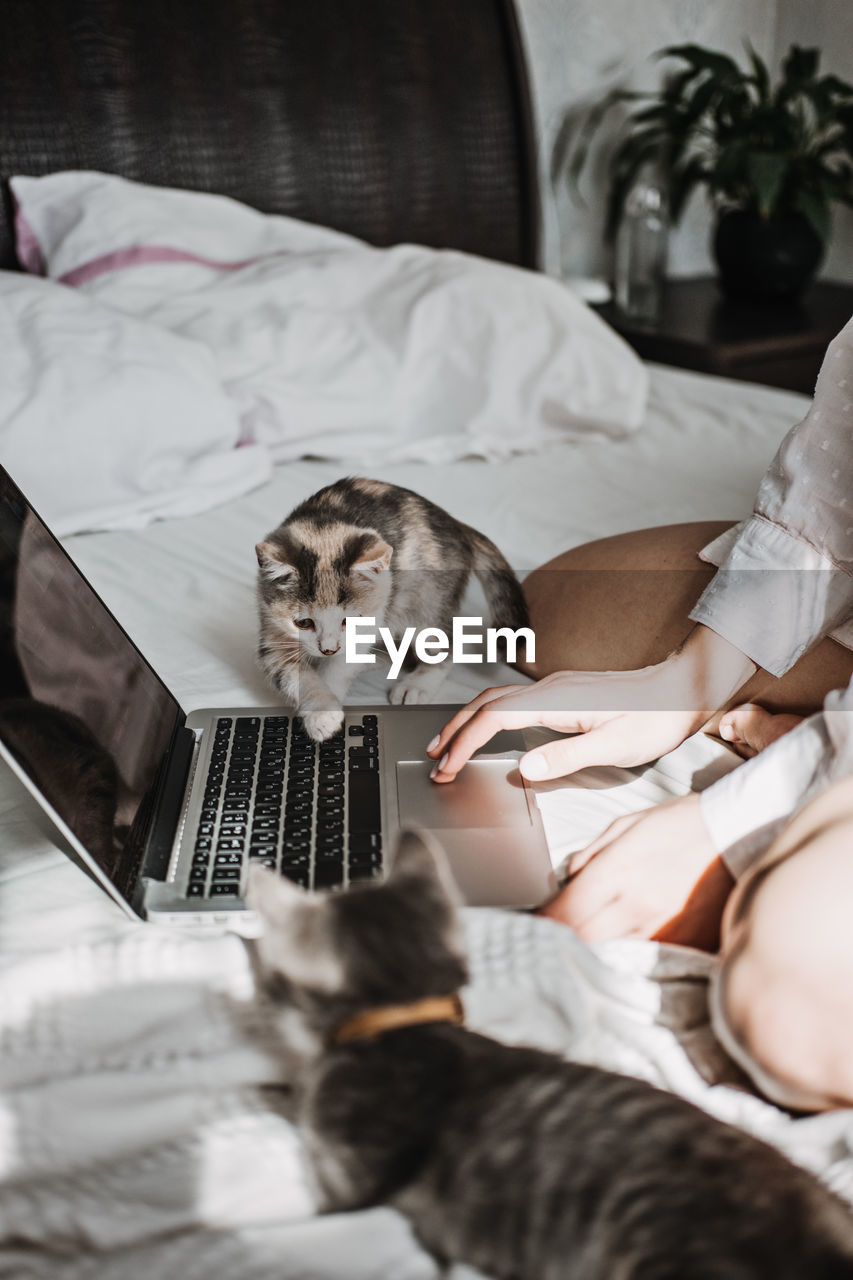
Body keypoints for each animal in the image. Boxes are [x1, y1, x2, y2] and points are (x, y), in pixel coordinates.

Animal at [256, 478, 527, 742]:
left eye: (348, 621)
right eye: (303, 623)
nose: (329, 650)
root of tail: (456, 525)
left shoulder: (370, 620)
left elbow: (340, 667)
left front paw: (329, 702)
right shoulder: (271, 626)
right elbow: (290, 672)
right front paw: (321, 712)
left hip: (425, 600)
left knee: (443, 645)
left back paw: (416, 685)